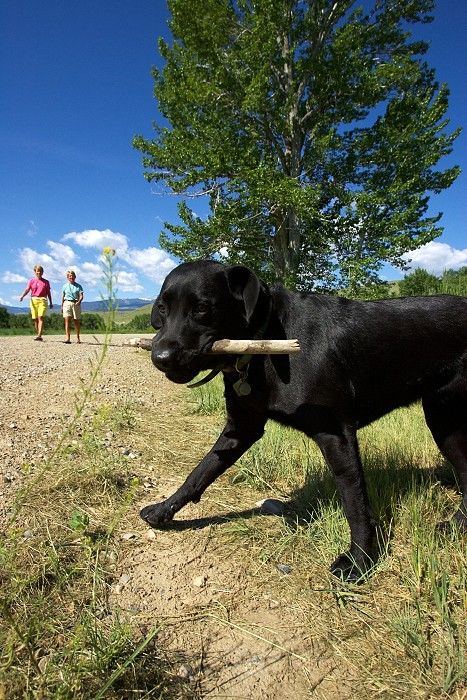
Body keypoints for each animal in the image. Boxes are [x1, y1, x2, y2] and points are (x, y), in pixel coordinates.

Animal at [140, 258, 467, 580]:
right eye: (162, 309)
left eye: (202, 308)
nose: (160, 357)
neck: (265, 337)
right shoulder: (241, 429)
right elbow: (201, 471)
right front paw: (164, 510)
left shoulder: (336, 435)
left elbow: (355, 503)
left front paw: (359, 561)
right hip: (444, 422)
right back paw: (456, 527)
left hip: (443, 421)